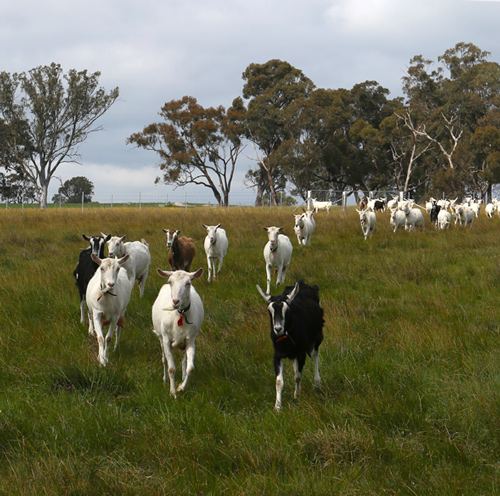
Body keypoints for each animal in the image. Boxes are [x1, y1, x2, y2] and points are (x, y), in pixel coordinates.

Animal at [151, 270, 204, 398]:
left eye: (188, 283)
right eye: (170, 282)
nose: (175, 301)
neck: (179, 314)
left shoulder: (190, 340)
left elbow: (190, 368)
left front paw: (180, 388)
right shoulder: (166, 339)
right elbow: (171, 368)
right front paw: (172, 392)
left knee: (184, 361)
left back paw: (183, 378)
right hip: (161, 338)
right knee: (164, 359)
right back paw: (165, 379)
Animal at [258, 280, 324, 410]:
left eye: (287, 310)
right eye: (269, 310)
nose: (278, 329)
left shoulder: (301, 353)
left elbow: (298, 376)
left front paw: (297, 396)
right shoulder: (277, 355)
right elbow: (279, 381)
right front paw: (277, 407)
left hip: (317, 337)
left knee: (315, 355)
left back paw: (317, 384)